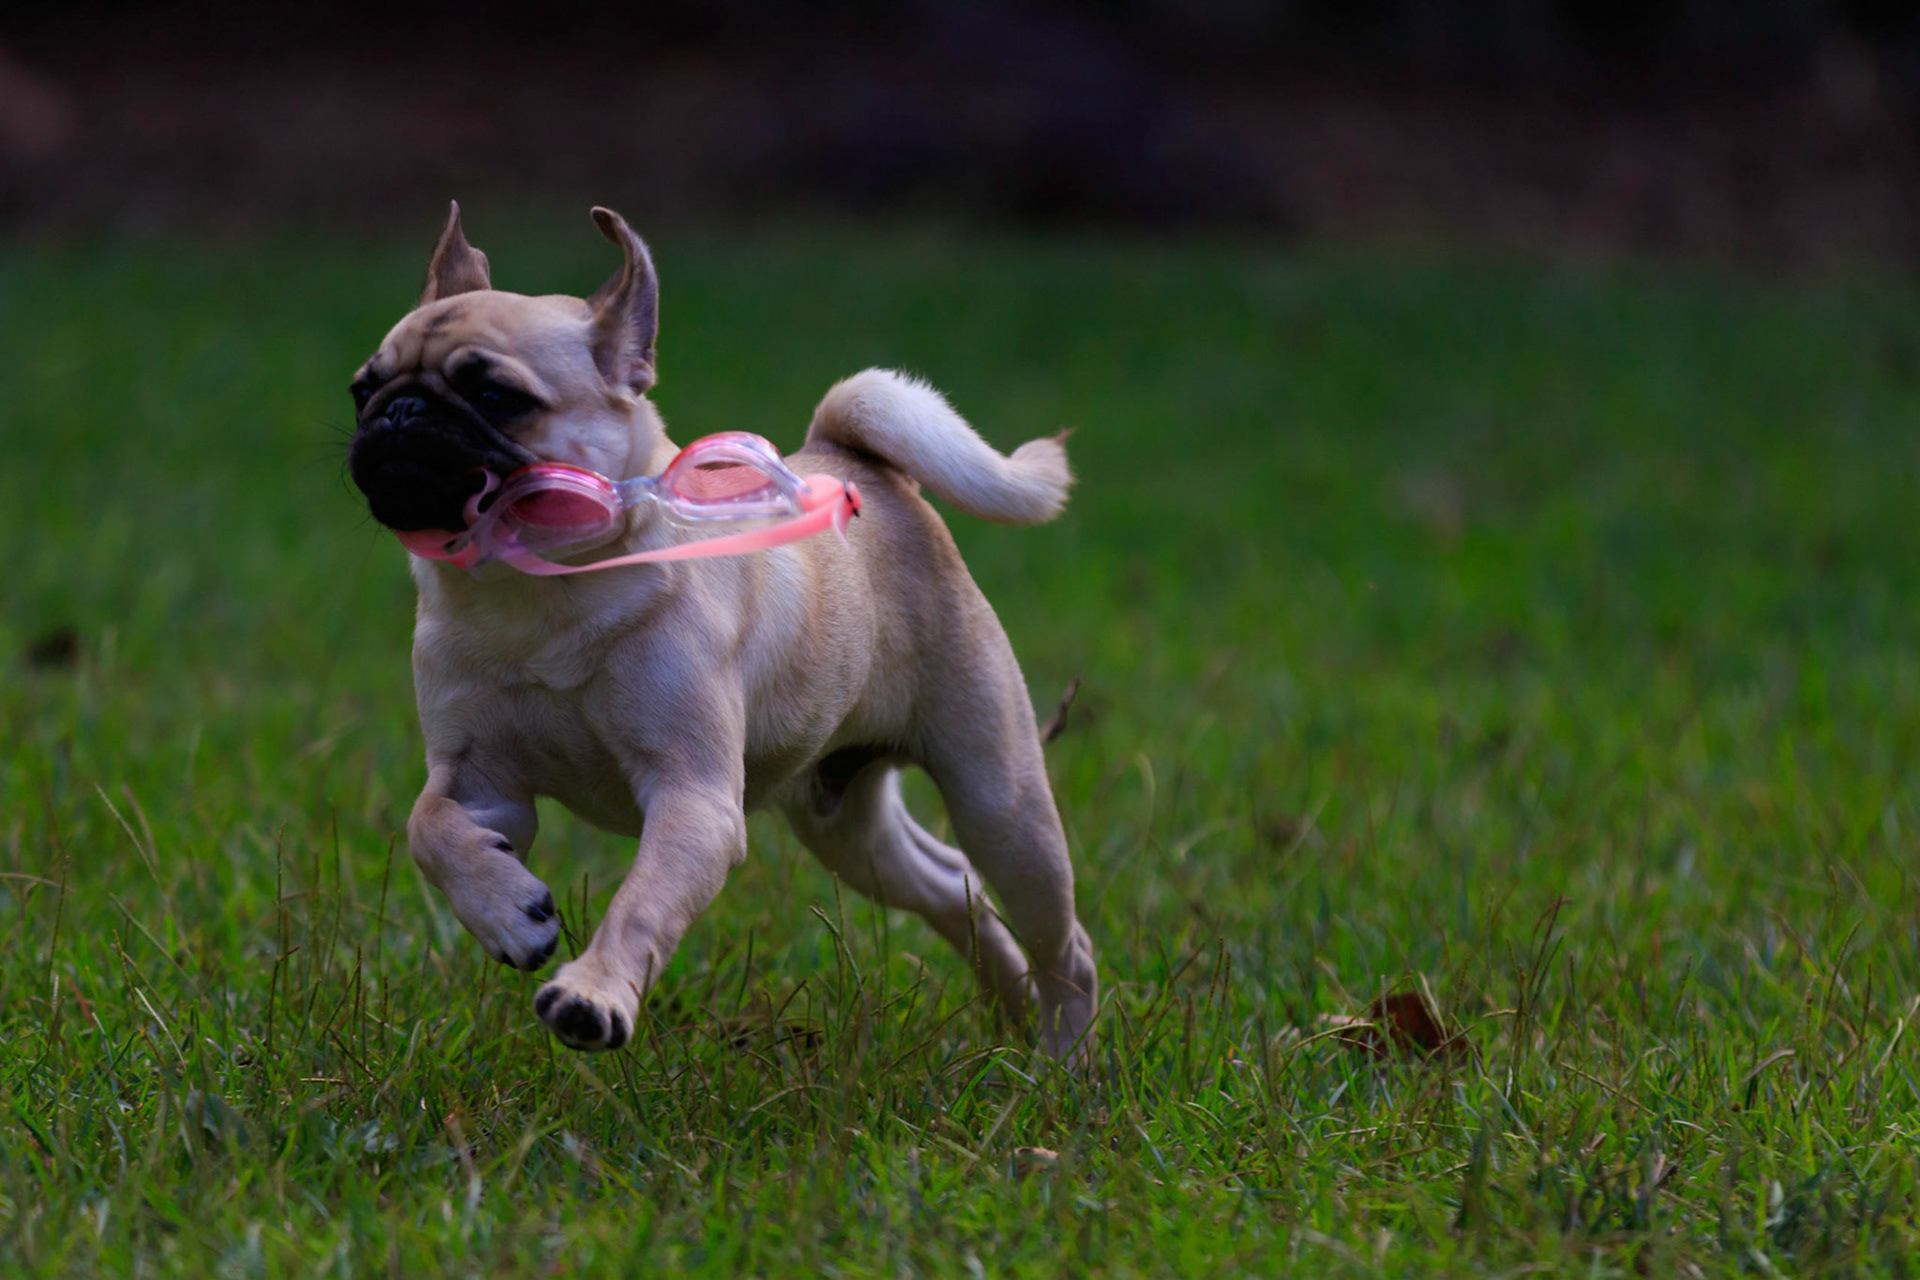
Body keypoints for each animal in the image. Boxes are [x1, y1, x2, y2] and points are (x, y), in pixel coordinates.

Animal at [347, 204, 1098, 1060]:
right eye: (362, 389)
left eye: (497, 395)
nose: (399, 412)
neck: (533, 589)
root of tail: (848, 457)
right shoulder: (479, 784)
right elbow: (429, 828)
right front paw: (506, 913)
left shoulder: (693, 800)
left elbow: (641, 904)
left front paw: (593, 993)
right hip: (845, 823)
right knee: (950, 886)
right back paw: (1014, 1014)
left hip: (999, 803)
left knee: (1063, 941)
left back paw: (1062, 1061)